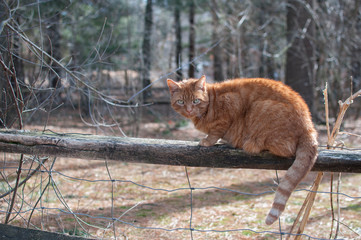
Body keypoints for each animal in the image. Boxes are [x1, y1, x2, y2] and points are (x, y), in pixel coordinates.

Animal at [167, 75, 316, 225]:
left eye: (195, 101)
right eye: (181, 102)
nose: (189, 110)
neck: (211, 101)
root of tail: (308, 126)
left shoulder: (231, 104)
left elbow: (216, 132)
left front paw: (208, 141)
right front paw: (222, 141)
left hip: (260, 108)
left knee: (286, 149)